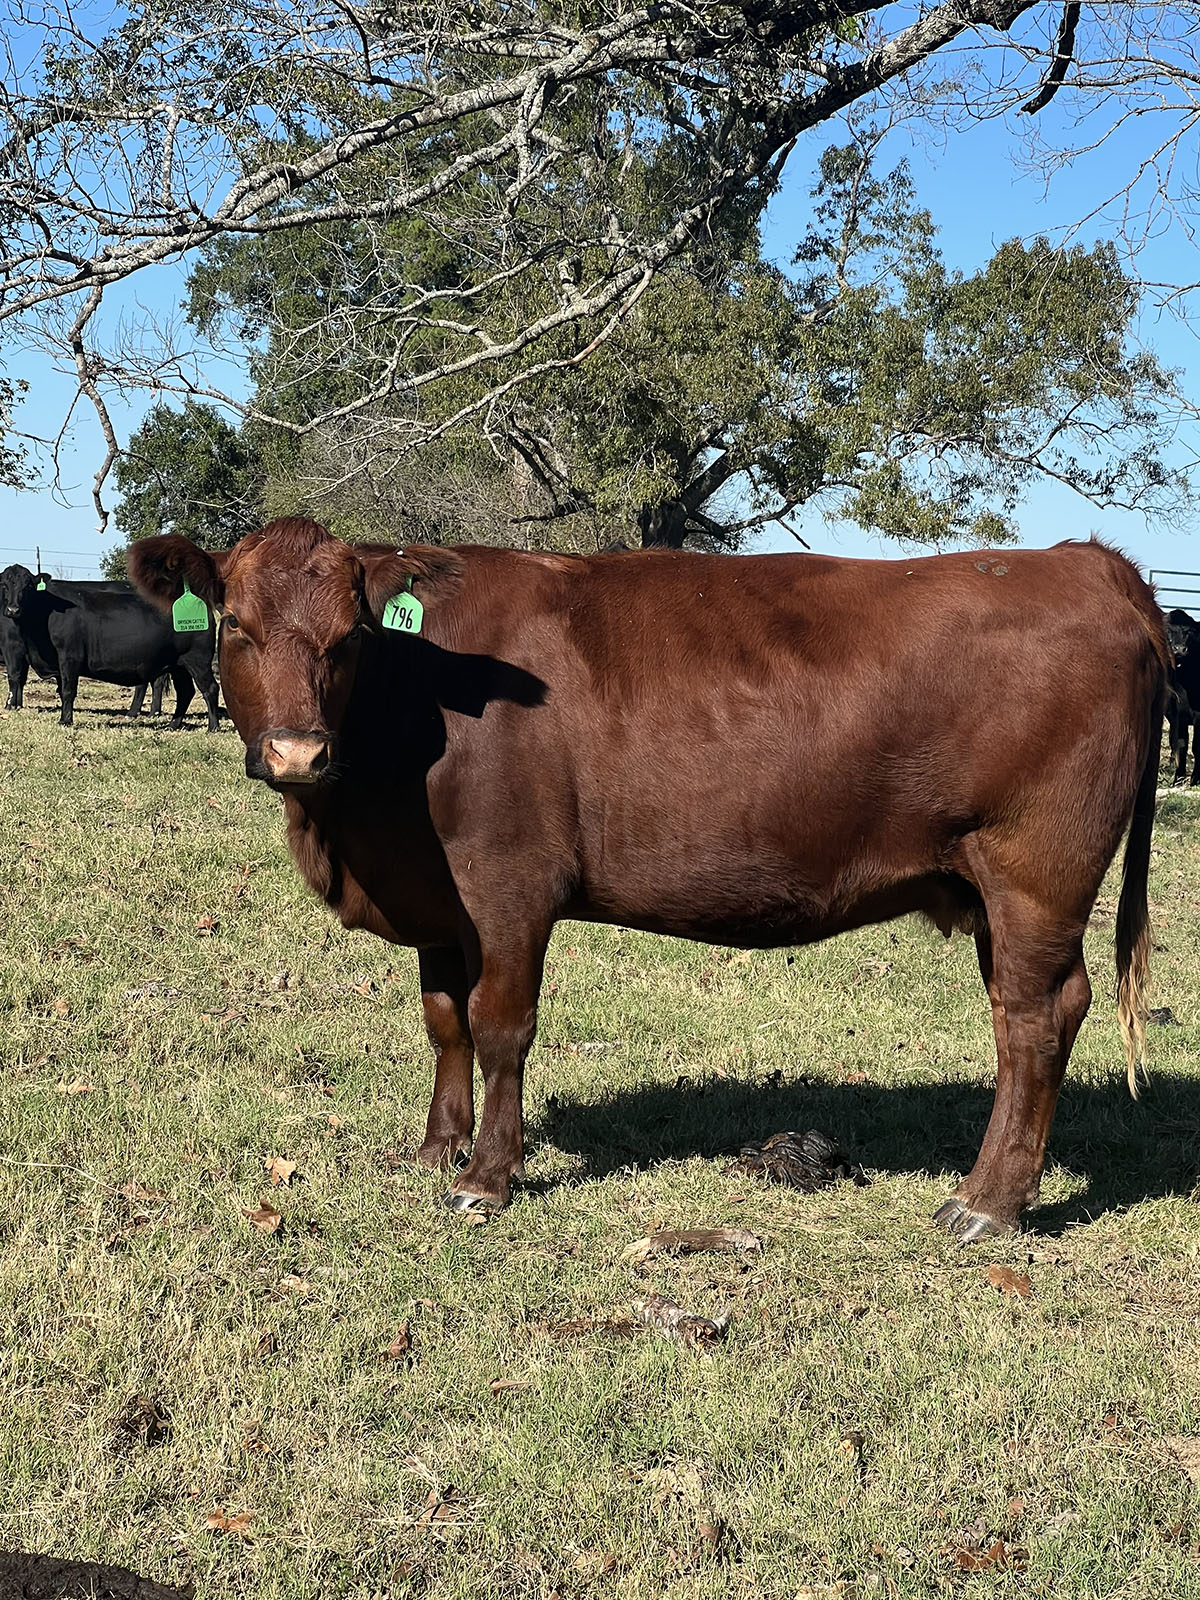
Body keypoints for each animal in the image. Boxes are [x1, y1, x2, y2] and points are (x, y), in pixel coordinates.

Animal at [0, 564, 220, 729]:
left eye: (28, 585)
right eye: (4, 584)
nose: (12, 609)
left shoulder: (68, 656)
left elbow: (68, 689)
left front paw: (65, 721)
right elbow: (61, 689)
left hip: (198, 660)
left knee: (210, 688)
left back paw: (213, 726)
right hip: (178, 666)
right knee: (186, 692)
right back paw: (173, 724)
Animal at [129, 520, 1166, 1241]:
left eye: (349, 636)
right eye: (236, 625)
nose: (297, 753)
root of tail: (1083, 561)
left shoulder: (509, 886)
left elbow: (500, 1026)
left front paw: (486, 1177)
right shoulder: (437, 901)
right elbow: (444, 1022)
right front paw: (434, 1147)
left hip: (1035, 873)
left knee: (1033, 1020)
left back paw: (986, 1202)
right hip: (999, 890)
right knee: (1040, 1011)